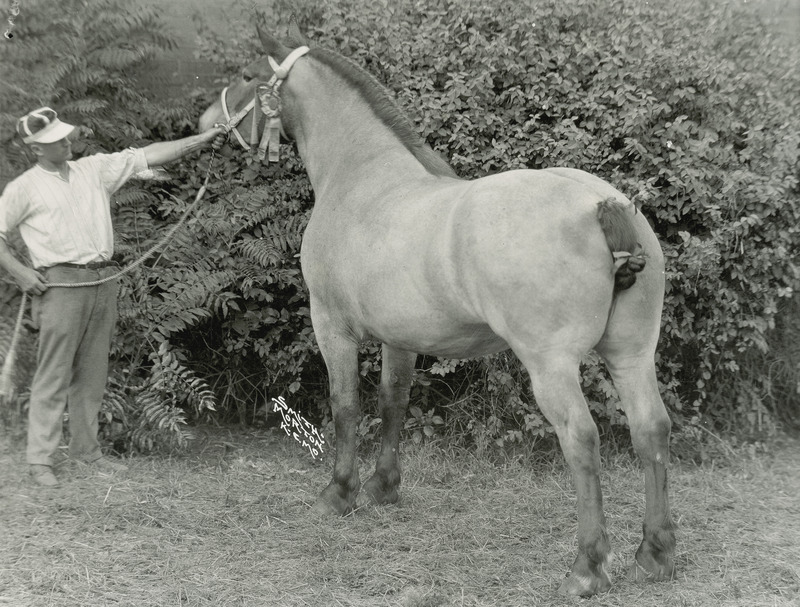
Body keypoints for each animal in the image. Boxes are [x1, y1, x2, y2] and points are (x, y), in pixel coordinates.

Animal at [198, 20, 676, 600]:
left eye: (248, 75)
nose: (206, 123)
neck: (362, 177)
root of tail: (600, 204)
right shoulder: (399, 336)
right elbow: (394, 401)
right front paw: (383, 487)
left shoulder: (331, 326)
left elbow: (345, 406)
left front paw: (339, 494)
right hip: (632, 353)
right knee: (651, 429)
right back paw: (653, 555)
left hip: (552, 365)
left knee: (581, 440)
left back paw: (586, 568)